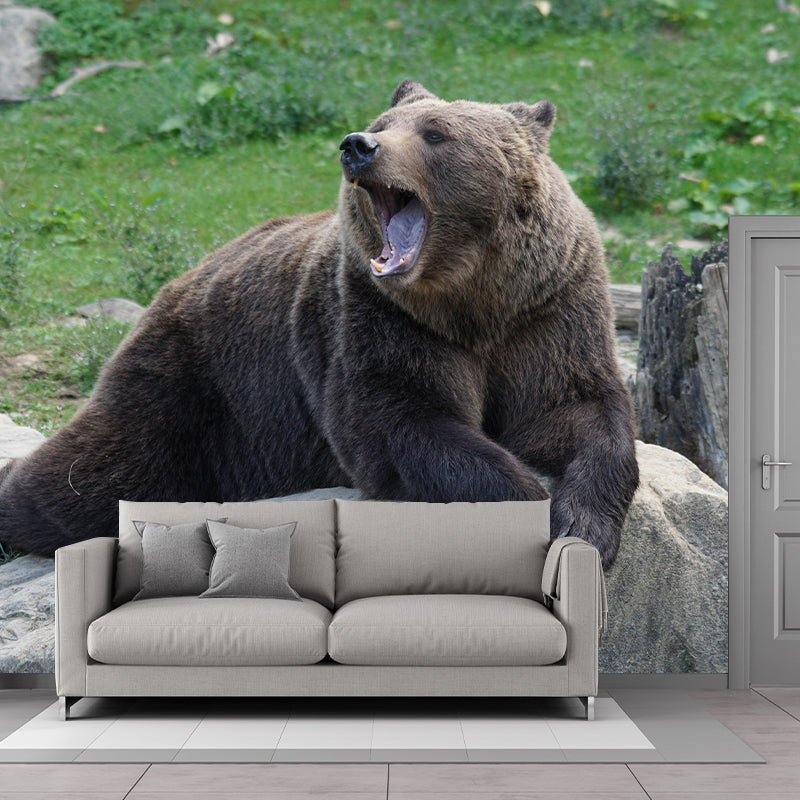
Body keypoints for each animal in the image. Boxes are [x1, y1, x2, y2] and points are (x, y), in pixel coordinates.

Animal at [0, 80, 638, 570]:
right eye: (382, 122)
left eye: (435, 132)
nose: (358, 146)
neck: (471, 301)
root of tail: (182, 279)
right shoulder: (380, 321)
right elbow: (402, 421)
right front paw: (525, 498)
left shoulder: (549, 309)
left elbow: (578, 410)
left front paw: (583, 527)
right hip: (199, 385)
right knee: (94, 476)